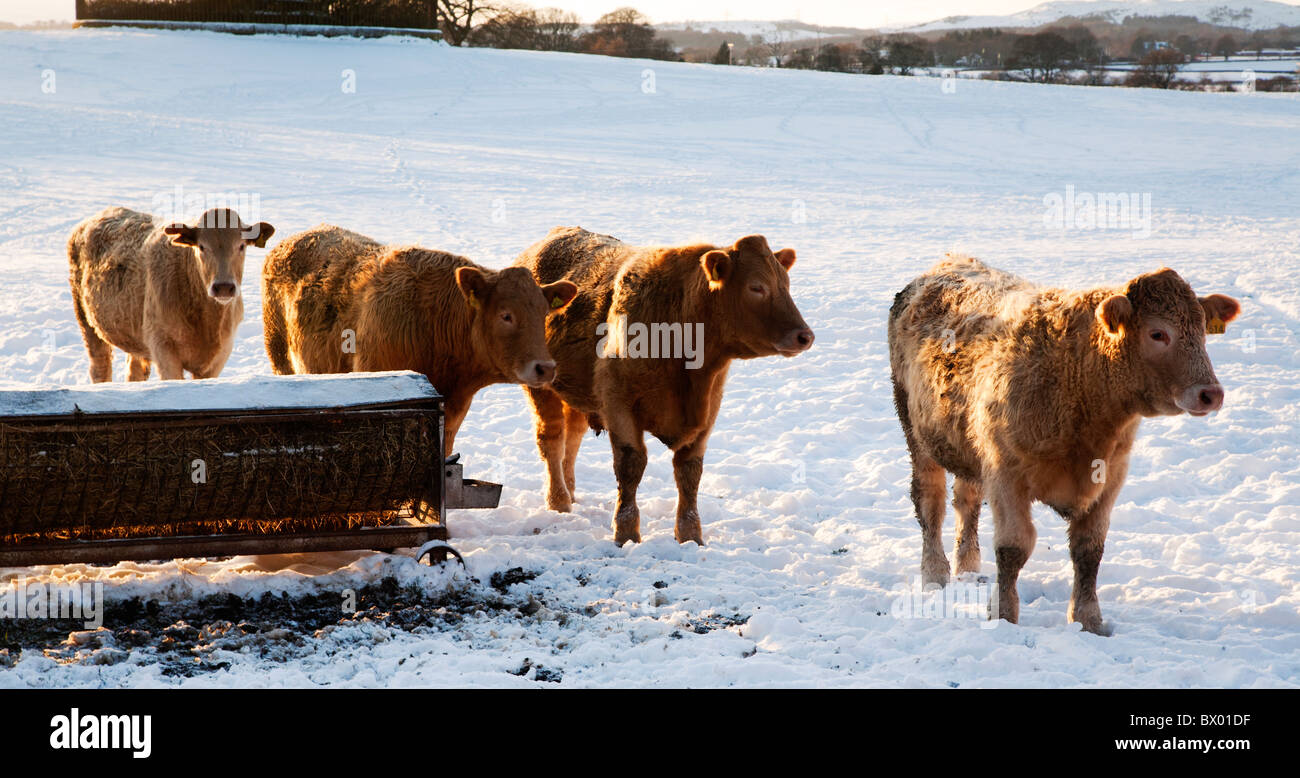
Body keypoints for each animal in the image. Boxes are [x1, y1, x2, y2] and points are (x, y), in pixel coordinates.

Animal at [67, 206, 274, 381]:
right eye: (201, 247)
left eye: (242, 246)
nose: (223, 287)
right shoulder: (163, 347)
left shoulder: (219, 356)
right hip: (87, 321)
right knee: (100, 367)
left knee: (135, 371)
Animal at [513, 227, 815, 546]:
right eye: (756, 287)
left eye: (786, 284)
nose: (805, 336)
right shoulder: (619, 405)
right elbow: (631, 465)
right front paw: (626, 533)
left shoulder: (708, 412)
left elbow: (689, 472)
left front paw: (690, 536)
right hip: (540, 388)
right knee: (552, 440)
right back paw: (559, 501)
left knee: (572, 439)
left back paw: (570, 494)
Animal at [888, 255, 1241, 634]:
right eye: (1158, 333)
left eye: (1202, 330)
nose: (1211, 393)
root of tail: (948, 262)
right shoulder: (1005, 472)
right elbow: (1014, 546)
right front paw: (1003, 615)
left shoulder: (1110, 477)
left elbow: (1089, 550)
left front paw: (1089, 621)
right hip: (916, 431)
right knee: (930, 501)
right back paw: (935, 574)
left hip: (968, 444)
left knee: (966, 501)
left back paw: (967, 567)